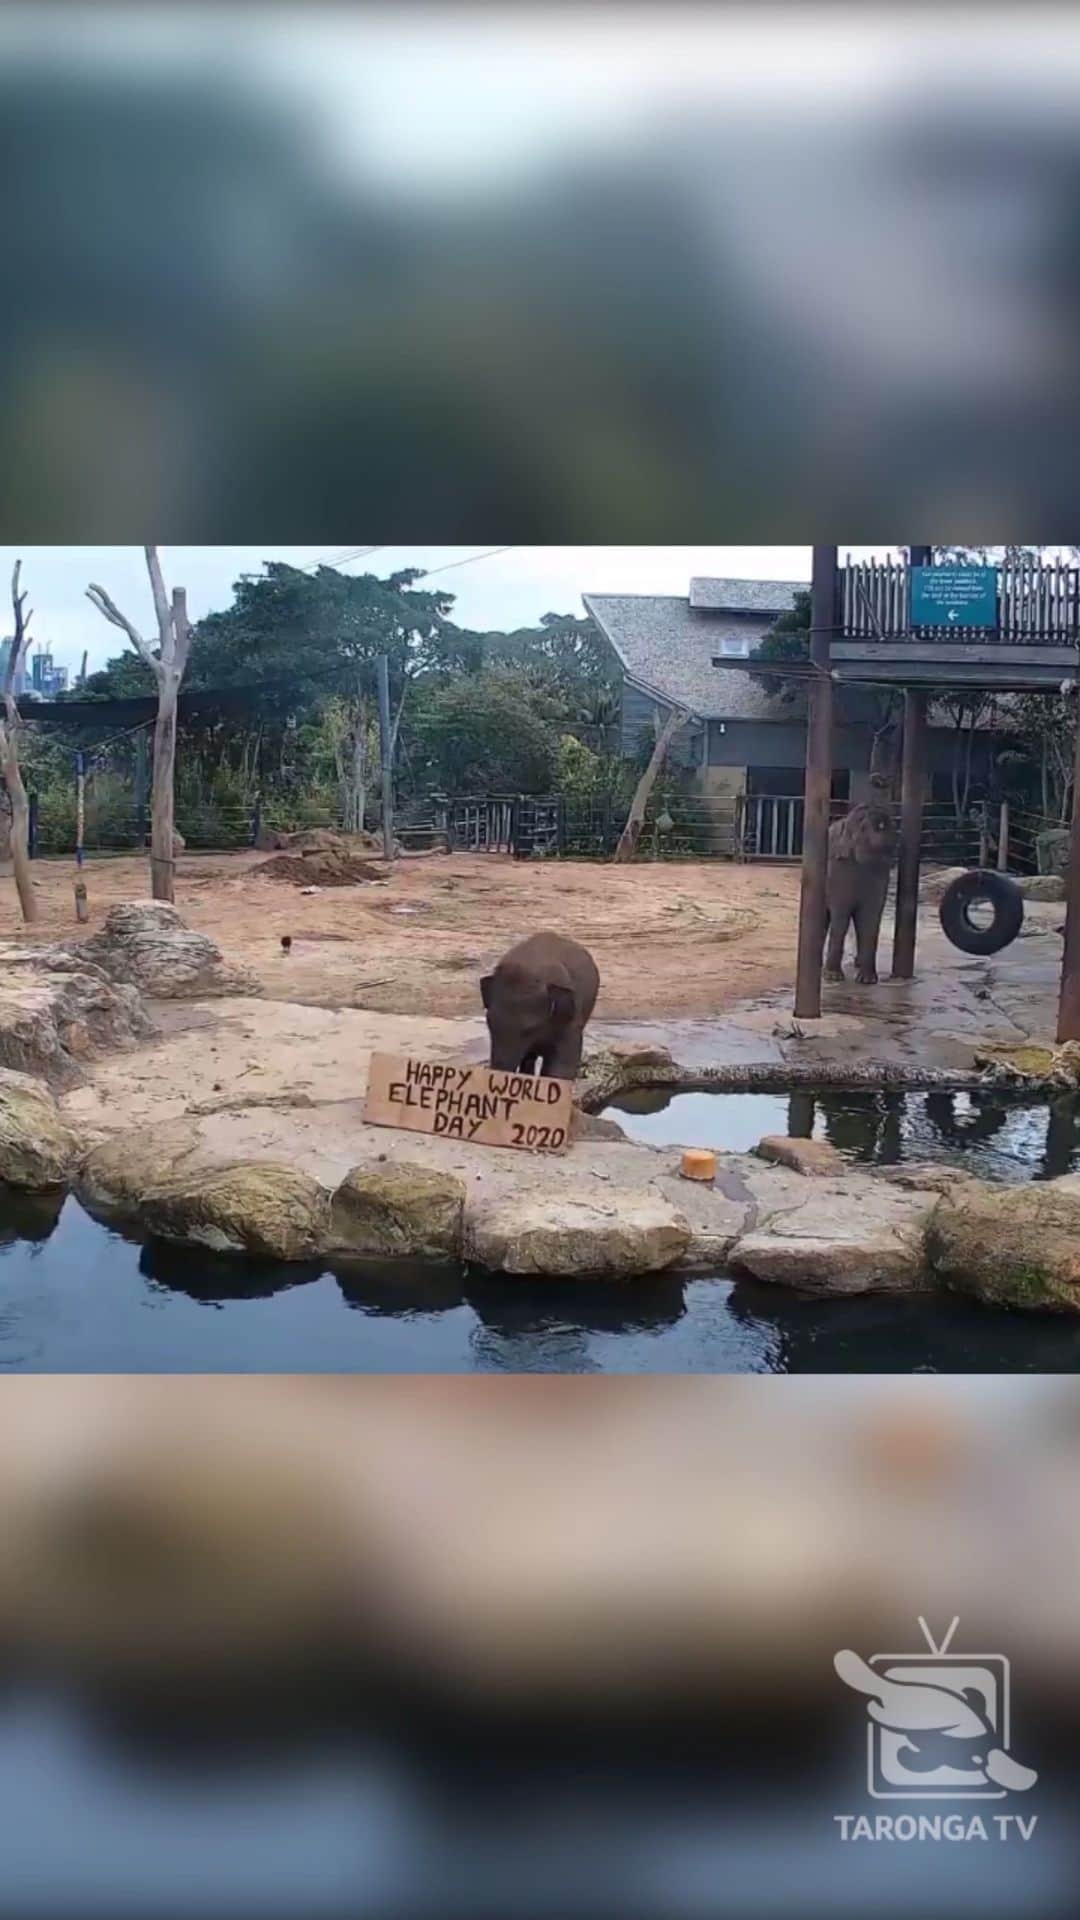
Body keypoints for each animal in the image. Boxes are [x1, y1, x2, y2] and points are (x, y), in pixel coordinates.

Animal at [818, 798, 895, 983]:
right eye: (863, 828)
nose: (881, 823)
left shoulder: (881, 874)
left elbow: (870, 918)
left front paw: (868, 980)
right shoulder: (838, 870)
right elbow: (841, 916)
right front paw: (833, 977)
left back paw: (858, 965)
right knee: (824, 918)